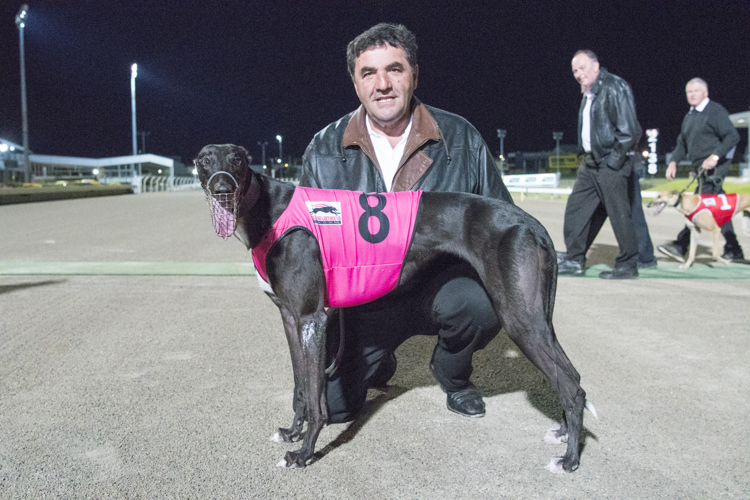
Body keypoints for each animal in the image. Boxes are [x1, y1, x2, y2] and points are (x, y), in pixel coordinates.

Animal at [195, 144, 595, 474]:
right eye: (203, 161)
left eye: (238, 160)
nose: (222, 188)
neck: (270, 210)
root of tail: (531, 222)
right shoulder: (291, 319)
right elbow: (301, 390)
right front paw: (292, 433)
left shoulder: (312, 319)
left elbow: (316, 396)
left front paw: (305, 453)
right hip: (537, 317)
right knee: (570, 376)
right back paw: (563, 433)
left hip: (520, 318)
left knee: (571, 384)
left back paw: (570, 460)